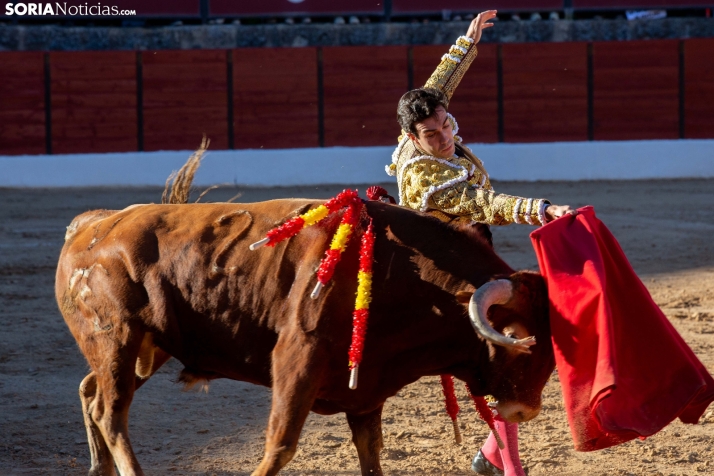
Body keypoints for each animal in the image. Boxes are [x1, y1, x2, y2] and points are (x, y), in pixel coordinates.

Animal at [57, 191, 556, 476]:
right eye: (519, 341)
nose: (527, 410)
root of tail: (92, 224)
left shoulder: (367, 390)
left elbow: (371, 453)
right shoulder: (297, 358)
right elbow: (279, 447)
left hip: (148, 349)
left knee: (90, 391)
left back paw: (97, 468)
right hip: (116, 339)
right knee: (111, 412)